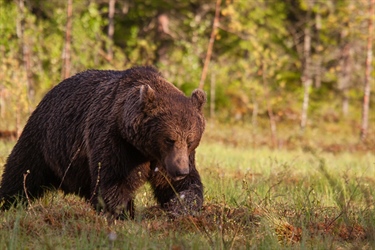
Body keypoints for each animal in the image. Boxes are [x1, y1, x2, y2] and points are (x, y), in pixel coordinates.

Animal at [0, 66, 206, 219]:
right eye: (169, 139)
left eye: (190, 140)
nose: (180, 170)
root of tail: (49, 93)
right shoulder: (114, 139)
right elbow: (113, 181)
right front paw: (123, 214)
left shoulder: (164, 159)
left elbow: (180, 186)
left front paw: (181, 208)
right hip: (43, 139)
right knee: (21, 173)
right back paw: (7, 203)